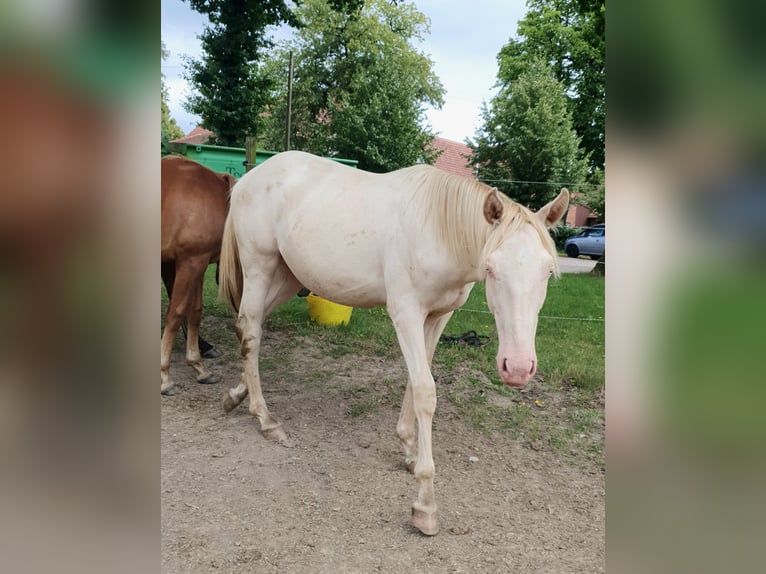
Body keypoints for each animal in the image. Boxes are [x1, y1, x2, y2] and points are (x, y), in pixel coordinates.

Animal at [160, 155, 236, 398]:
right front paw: (164, 377)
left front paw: (198, 366)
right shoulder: (189, 262)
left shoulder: (198, 263)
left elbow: (194, 311)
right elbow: (175, 314)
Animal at [219, 151, 568, 536]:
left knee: (249, 327)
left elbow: (417, 381)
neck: (438, 230)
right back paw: (266, 419)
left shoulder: (437, 317)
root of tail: (249, 179)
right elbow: (426, 391)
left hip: (287, 275)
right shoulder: (405, 313)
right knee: (251, 330)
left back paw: (237, 395)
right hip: (260, 268)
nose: (518, 368)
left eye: (548, 271)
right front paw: (425, 504)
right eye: (490, 268)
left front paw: (409, 450)